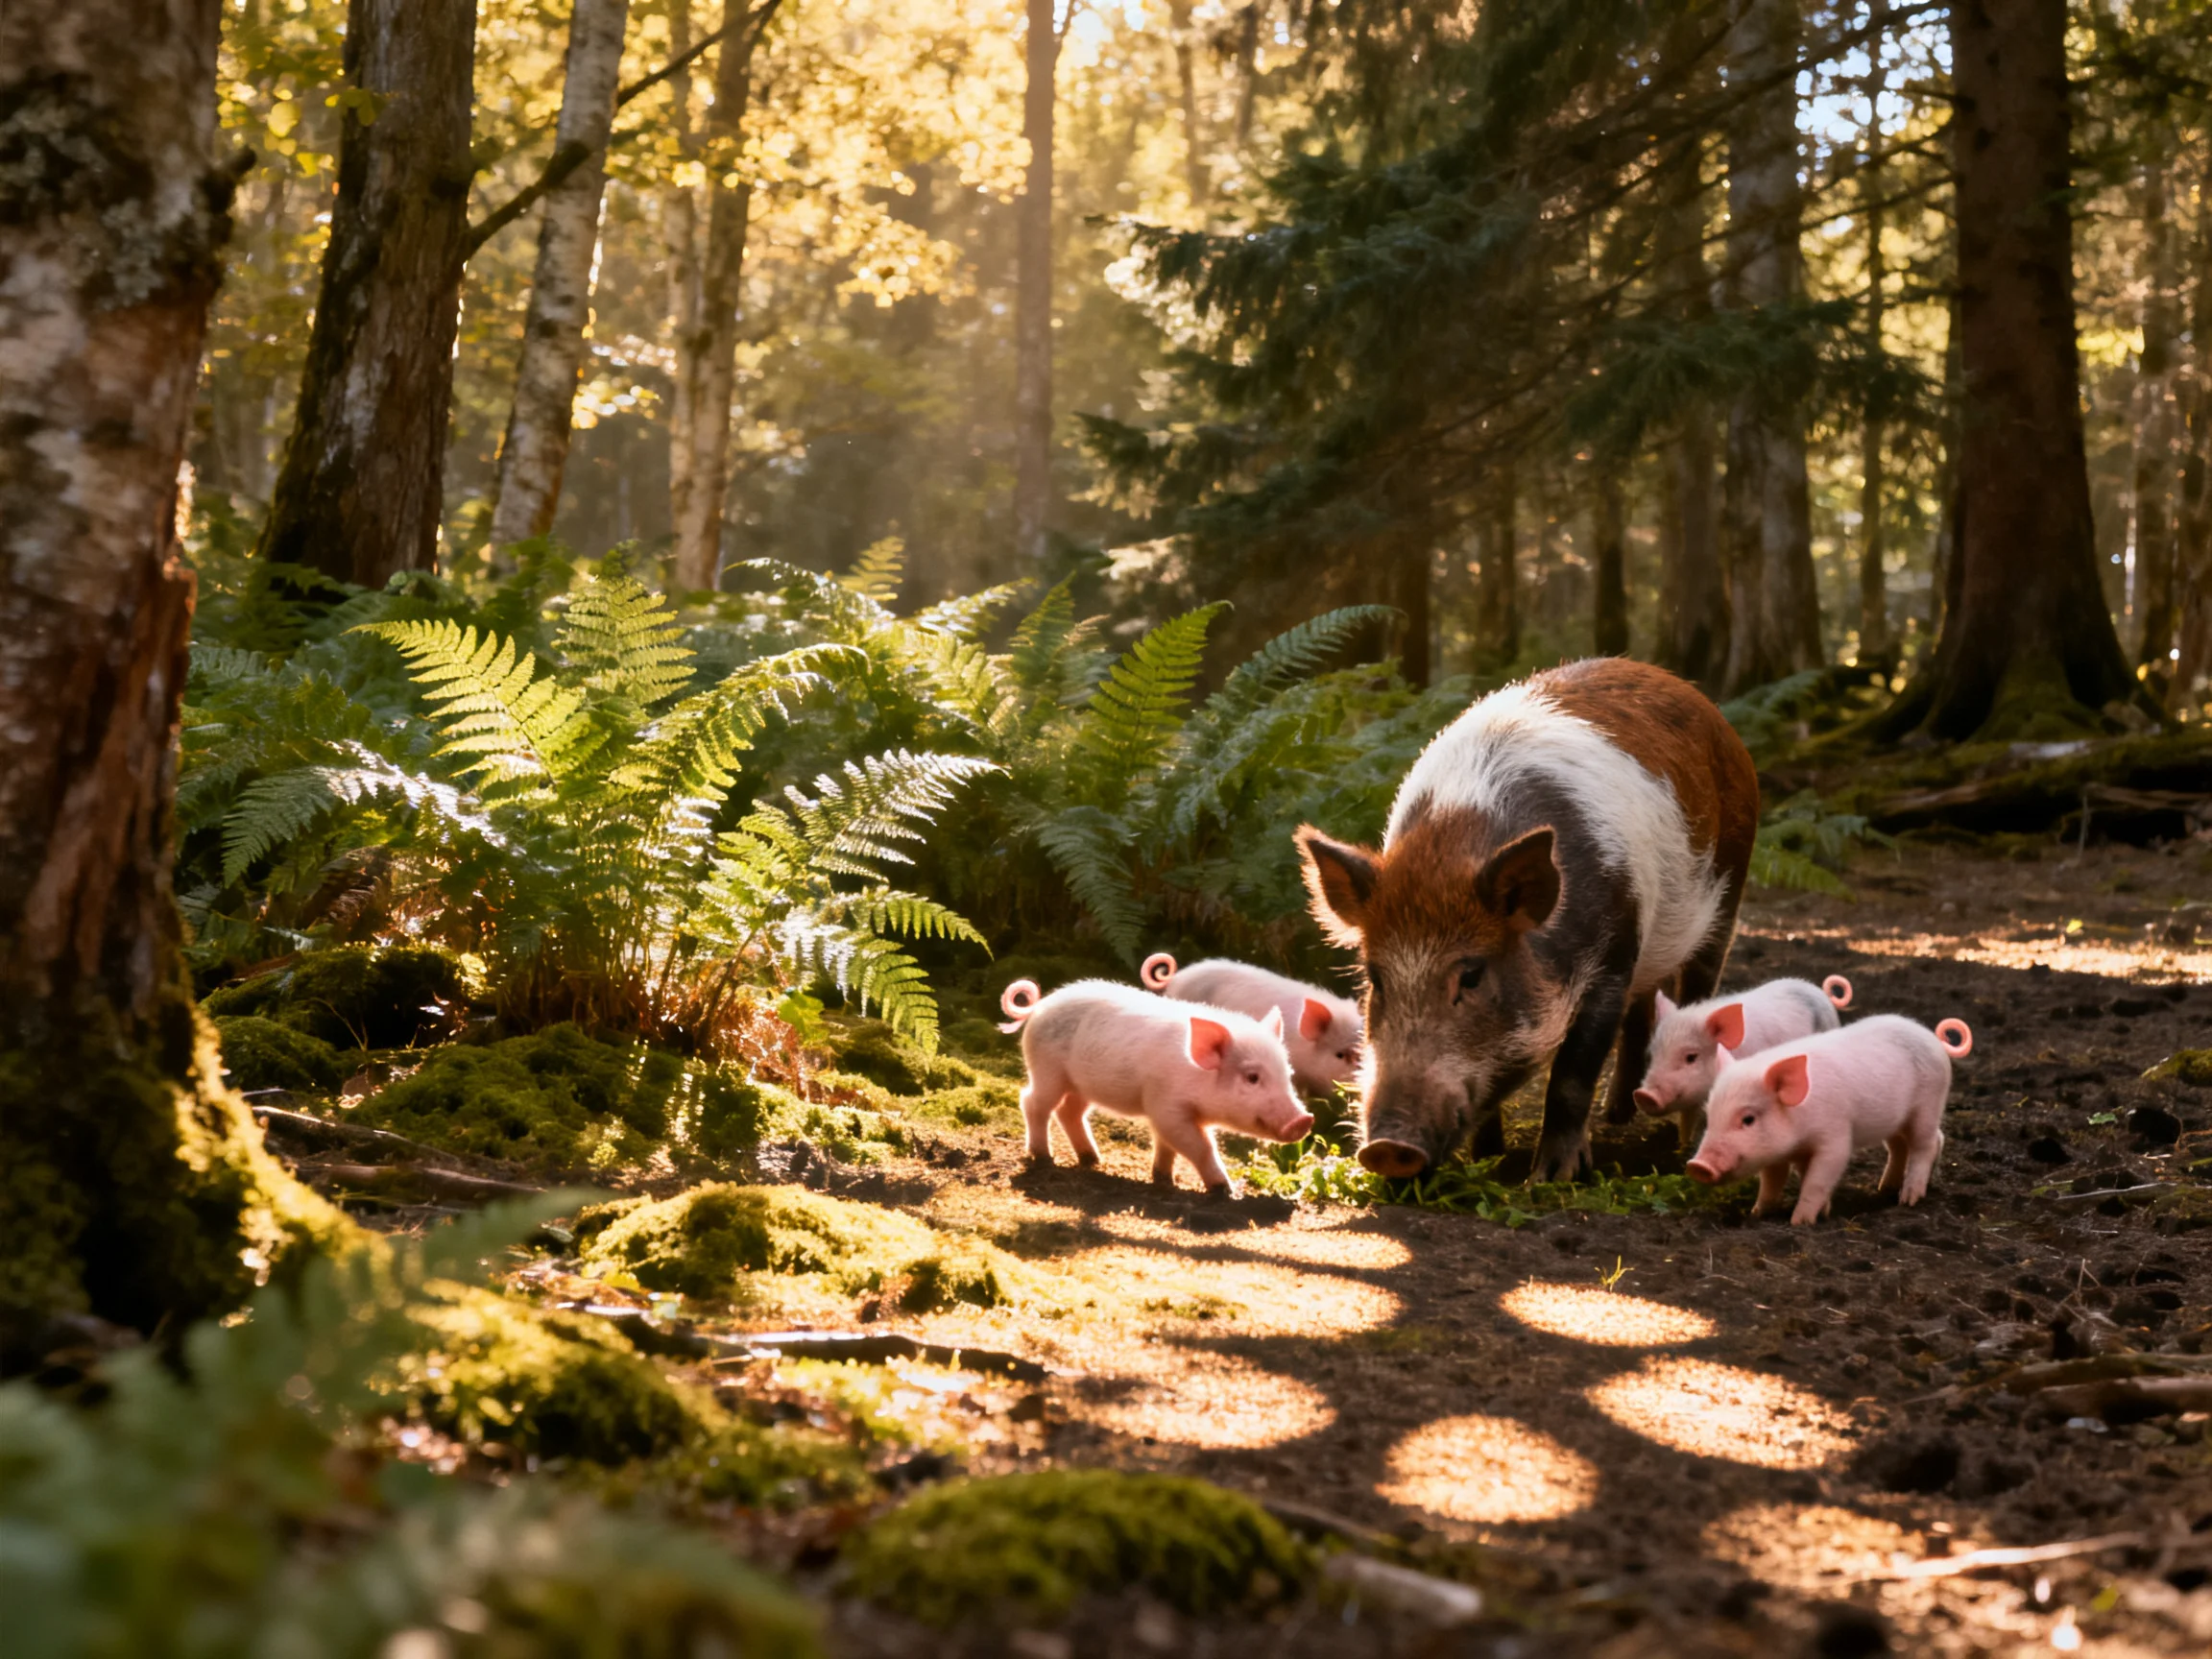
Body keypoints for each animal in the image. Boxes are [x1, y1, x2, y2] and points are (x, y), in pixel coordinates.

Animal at [998, 978, 1315, 1191]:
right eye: (1252, 1077)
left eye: (1287, 1073)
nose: (1304, 1119)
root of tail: (1039, 1006)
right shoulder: (1167, 1105)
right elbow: (1200, 1146)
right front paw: (1224, 1190)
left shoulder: (1169, 1112)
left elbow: (1167, 1144)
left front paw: (1163, 1179)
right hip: (1047, 1069)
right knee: (1033, 1102)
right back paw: (1043, 1157)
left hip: (1081, 1084)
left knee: (1069, 1112)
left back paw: (1092, 1159)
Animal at [1296, 658, 1761, 1183]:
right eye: (1376, 978)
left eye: (1472, 975)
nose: (1388, 1148)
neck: (1451, 847)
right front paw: (1489, 1163)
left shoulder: (1612, 959)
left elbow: (1571, 1076)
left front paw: (1549, 1178)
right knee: (1644, 1006)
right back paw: (1619, 1114)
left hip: (1730, 887)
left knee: (1700, 992)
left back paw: (1682, 1139)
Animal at [1685, 1014, 1973, 1225]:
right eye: (1710, 1116)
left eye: (1748, 1119)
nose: (1697, 1166)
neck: (1799, 1133)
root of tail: (1932, 1037)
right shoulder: (1781, 1153)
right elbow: (1773, 1180)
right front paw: (1757, 1215)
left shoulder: (1834, 1137)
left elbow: (1817, 1179)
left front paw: (1800, 1222)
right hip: (1896, 1120)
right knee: (1907, 1145)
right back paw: (1884, 1189)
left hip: (1928, 1104)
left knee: (1925, 1144)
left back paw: (1908, 1199)